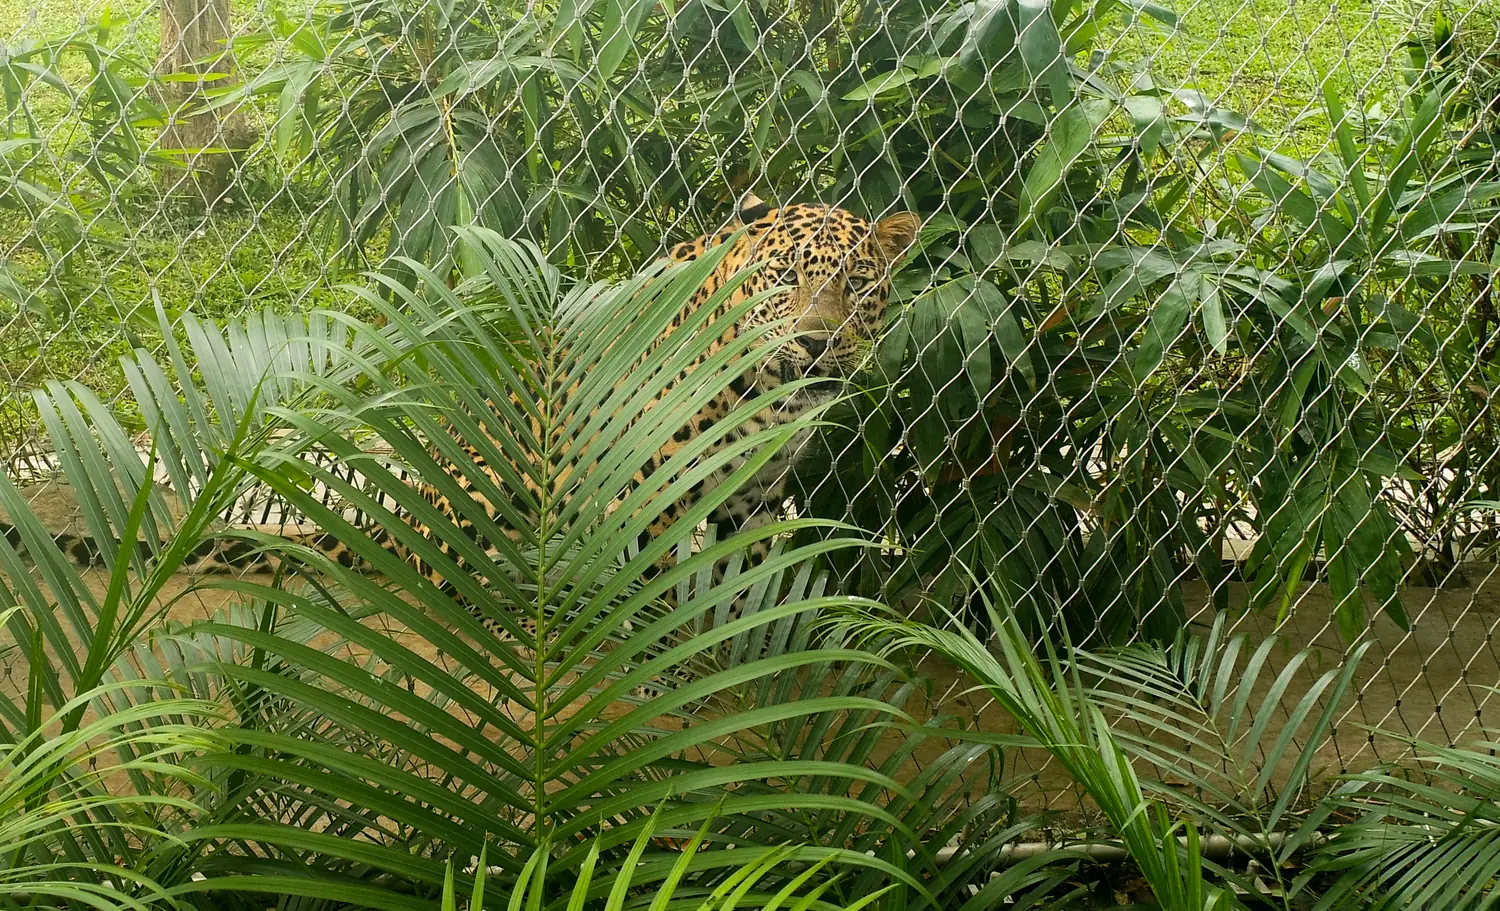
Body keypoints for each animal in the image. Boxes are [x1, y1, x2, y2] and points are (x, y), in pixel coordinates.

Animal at [1, 197, 920, 649]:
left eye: (858, 286)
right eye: (784, 279)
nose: (817, 342)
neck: (769, 393)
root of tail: (403, 525)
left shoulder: (757, 497)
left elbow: (754, 577)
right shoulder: (651, 482)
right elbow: (657, 584)